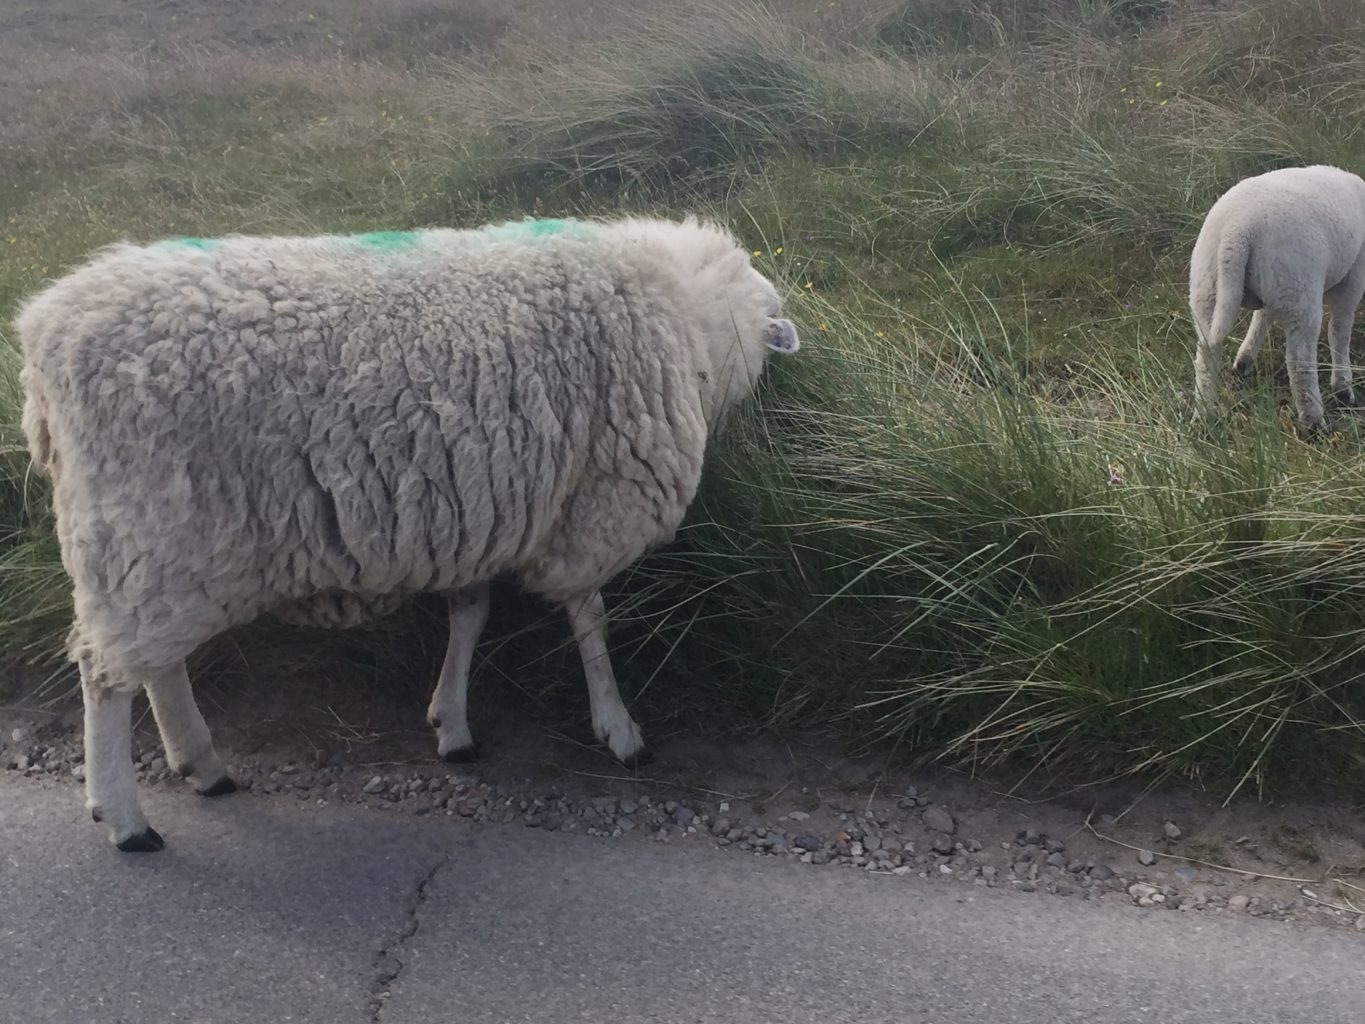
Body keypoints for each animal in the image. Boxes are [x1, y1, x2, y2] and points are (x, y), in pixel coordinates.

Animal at [21, 214, 797, 851]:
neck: (688, 315)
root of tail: (45, 337)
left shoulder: (483, 503)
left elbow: (471, 612)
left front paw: (451, 724)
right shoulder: (594, 502)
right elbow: (590, 619)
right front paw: (619, 728)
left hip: (166, 547)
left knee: (153, 661)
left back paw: (201, 765)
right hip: (145, 525)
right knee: (105, 674)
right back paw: (126, 819)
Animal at [1190, 166, 1365, 431]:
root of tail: (1237, 230)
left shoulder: (1276, 289)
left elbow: (1262, 316)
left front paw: (1244, 360)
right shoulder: (1353, 277)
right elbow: (1339, 331)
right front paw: (1343, 388)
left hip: (1209, 286)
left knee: (1206, 354)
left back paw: (1203, 416)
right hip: (1298, 288)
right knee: (1300, 362)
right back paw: (1314, 423)